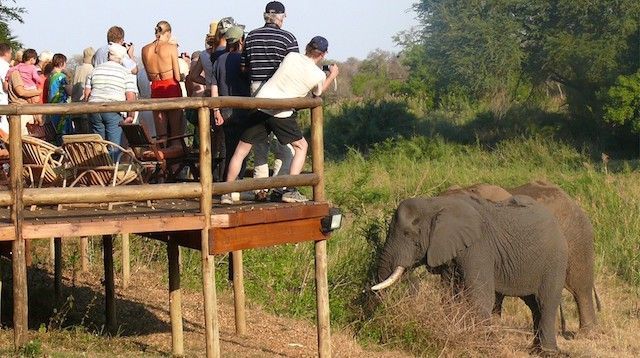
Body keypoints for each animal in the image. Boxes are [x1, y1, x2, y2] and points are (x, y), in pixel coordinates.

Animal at [372, 193, 568, 352]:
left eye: (407, 234)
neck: (435, 203)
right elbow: (449, 296)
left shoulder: (479, 247)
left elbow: (479, 296)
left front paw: (484, 346)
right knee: (533, 305)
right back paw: (534, 350)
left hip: (556, 261)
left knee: (545, 302)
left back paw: (547, 352)